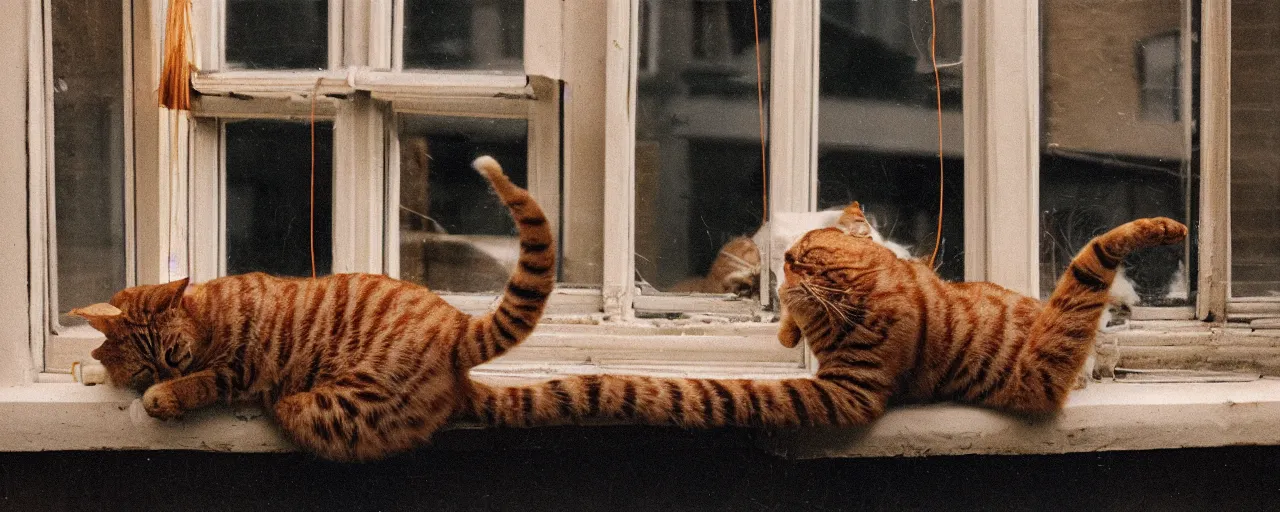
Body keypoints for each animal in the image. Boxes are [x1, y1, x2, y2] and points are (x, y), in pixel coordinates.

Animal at [70, 156, 550, 460]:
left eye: (174, 355)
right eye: (144, 367)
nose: (165, 375)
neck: (204, 315)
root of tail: (455, 333)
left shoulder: (238, 370)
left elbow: (201, 382)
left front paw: (166, 395)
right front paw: (95, 369)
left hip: (306, 407)